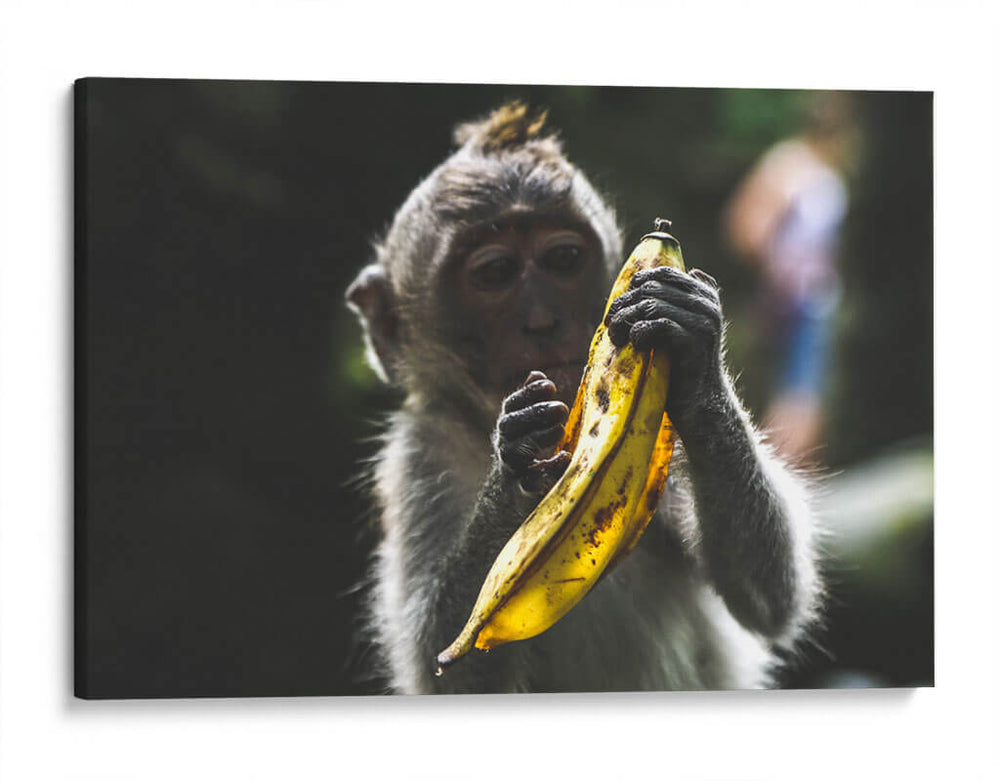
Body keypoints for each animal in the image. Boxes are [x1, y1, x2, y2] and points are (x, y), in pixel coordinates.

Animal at [346, 103, 821, 694]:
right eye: (496, 273)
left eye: (563, 259)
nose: (542, 319)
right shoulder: (416, 459)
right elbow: (442, 671)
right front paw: (516, 464)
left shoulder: (656, 441)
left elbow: (767, 594)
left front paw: (698, 358)